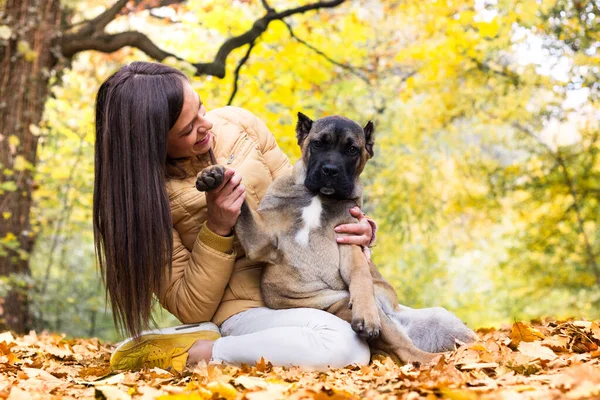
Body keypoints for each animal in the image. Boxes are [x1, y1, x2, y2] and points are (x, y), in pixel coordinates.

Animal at [197, 112, 478, 362]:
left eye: (352, 149)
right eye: (318, 143)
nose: (330, 170)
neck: (318, 197)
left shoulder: (350, 242)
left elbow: (362, 277)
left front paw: (365, 312)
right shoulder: (260, 238)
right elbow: (242, 204)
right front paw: (215, 177)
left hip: (442, 319)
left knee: (413, 350)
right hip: (343, 306)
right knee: (404, 349)